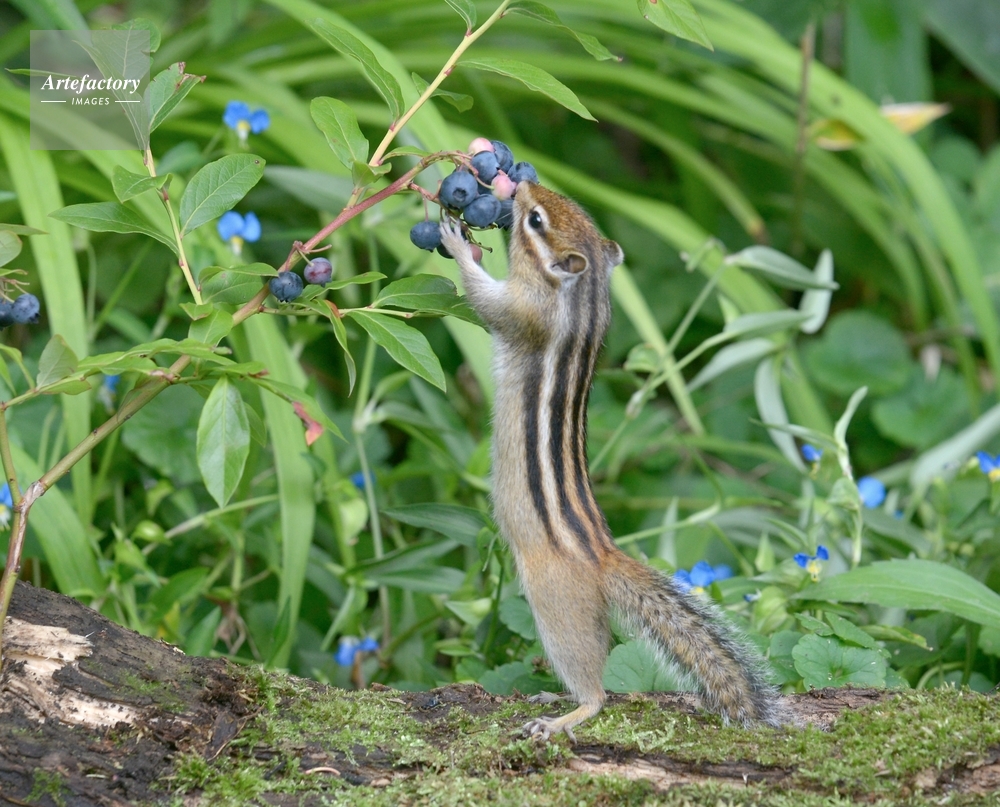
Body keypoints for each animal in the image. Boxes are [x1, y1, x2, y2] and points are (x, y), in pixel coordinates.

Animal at [438, 183, 782, 741]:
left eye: (535, 220)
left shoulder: (523, 312)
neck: (586, 299)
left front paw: (456, 243)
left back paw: (564, 717)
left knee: (596, 690)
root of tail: (603, 557)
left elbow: (486, 302)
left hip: (555, 610)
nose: (523, 183)